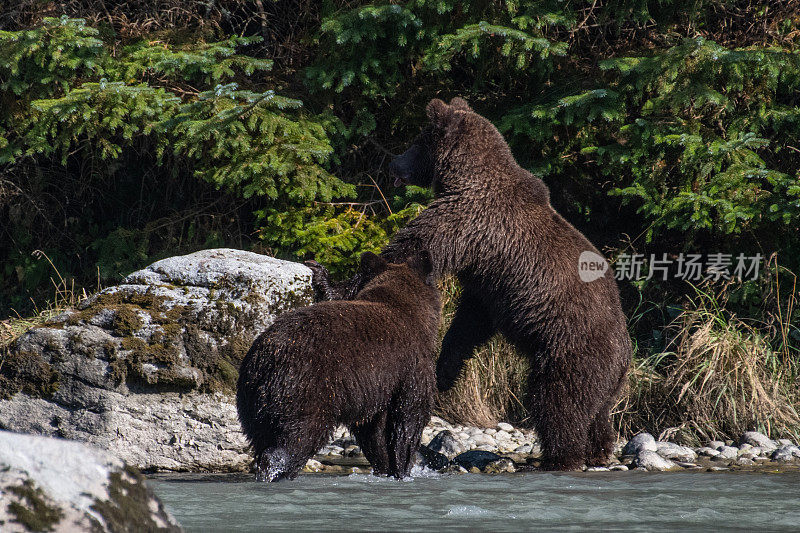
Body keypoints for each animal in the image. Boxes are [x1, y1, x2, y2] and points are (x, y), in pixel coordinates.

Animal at [234, 251, 440, 480]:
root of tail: (264, 359)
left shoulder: (377, 387)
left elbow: (374, 430)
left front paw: (386, 466)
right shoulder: (411, 365)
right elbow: (410, 415)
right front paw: (403, 467)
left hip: (252, 401)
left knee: (262, 439)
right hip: (305, 388)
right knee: (298, 437)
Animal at [310, 96, 636, 470]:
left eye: (418, 141)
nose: (393, 162)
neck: (464, 178)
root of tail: (626, 353)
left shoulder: (466, 223)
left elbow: (407, 250)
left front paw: (326, 279)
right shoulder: (486, 277)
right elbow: (470, 322)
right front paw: (443, 371)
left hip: (570, 350)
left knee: (558, 402)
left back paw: (557, 457)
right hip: (605, 378)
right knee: (598, 413)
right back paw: (599, 450)